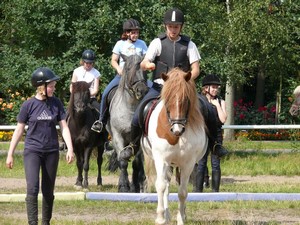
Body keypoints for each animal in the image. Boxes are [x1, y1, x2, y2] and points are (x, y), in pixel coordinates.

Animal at [141, 68, 207, 225]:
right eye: (167, 99)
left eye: (186, 100)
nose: (177, 129)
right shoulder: (161, 159)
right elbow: (161, 186)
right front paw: (160, 217)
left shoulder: (188, 163)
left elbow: (182, 191)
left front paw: (181, 218)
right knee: (165, 185)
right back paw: (166, 215)